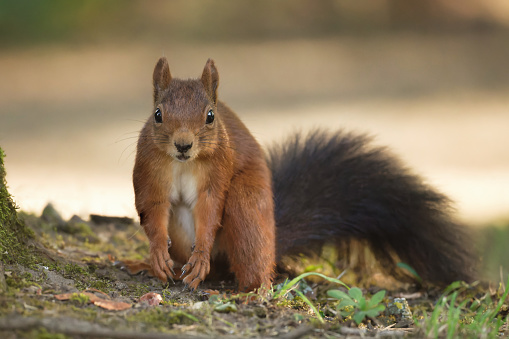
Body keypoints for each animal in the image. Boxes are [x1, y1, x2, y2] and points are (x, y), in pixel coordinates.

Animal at [127, 57, 472, 292]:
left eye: (210, 116)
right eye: (158, 114)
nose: (183, 144)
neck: (185, 163)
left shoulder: (219, 170)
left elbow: (210, 211)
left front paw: (200, 254)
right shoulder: (149, 169)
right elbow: (152, 208)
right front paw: (155, 253)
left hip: (248, 206)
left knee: (249, 251)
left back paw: (250, 290)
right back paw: (150, 265)